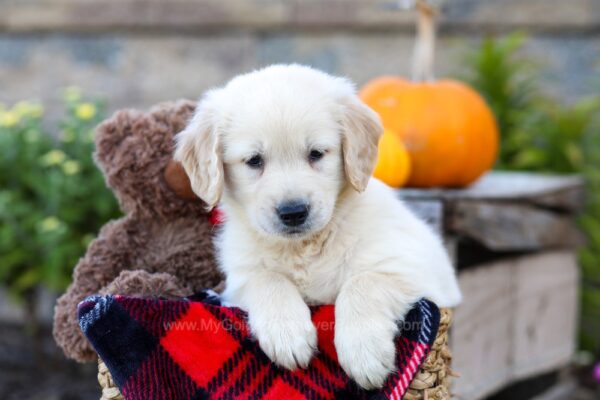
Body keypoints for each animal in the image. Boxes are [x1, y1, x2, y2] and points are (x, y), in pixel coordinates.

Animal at [173, 64, 464, 390]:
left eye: (316, 153)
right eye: (254, 161)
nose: (293, 212)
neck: (305, 246)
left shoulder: (418, 271)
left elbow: (363, 283)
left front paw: (364, 353)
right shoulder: (238, 281)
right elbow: (268, 280)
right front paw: (288, 335)